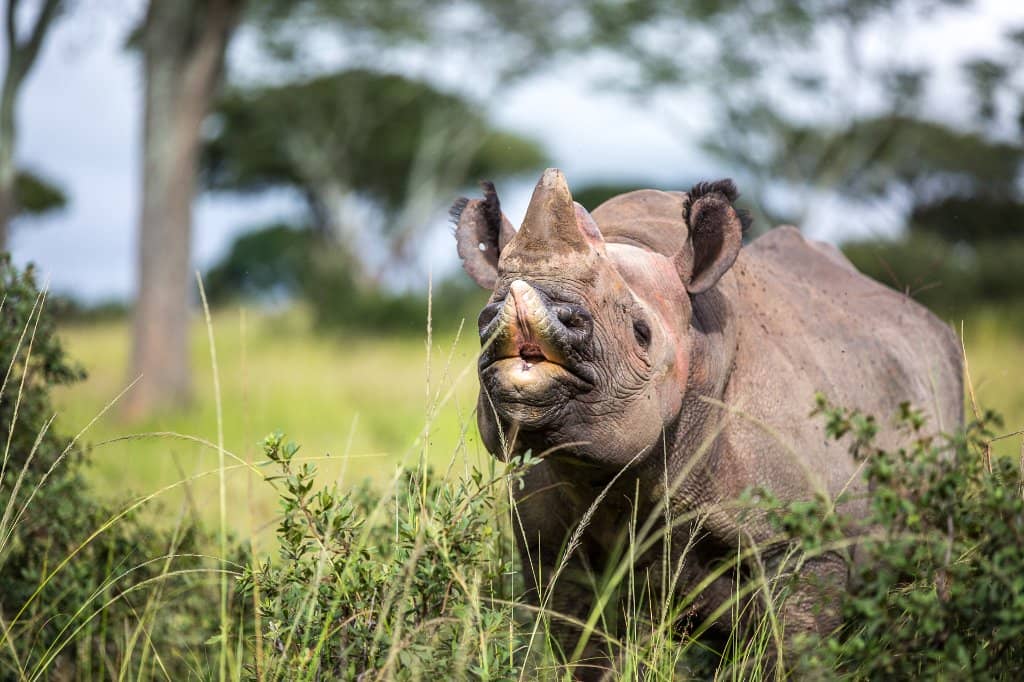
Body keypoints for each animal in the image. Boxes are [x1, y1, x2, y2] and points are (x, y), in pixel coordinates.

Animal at [450, 169, 963, 675]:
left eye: (642, 333)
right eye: (485, 321)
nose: (523, 339)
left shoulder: (803, 543)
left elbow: (796, 650)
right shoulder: (552, 545)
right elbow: (583, 651)